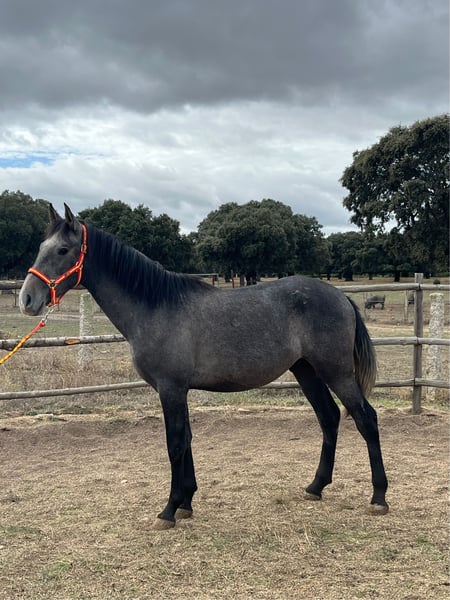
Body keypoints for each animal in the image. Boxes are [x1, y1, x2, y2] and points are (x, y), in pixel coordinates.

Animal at [19, 204, 389, 529]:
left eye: (63, 250)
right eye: (40, 247)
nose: (26, 299)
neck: (155, 306)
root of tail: (341, 297)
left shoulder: (170, 388)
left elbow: (175, 443)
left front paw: (168, 510)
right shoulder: (178, 390)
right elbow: (187, 439)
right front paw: (186, 503)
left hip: (336, 372)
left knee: (366, 419)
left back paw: (379, 497)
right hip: (306, 371)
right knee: (329, 417)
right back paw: (316, 486)